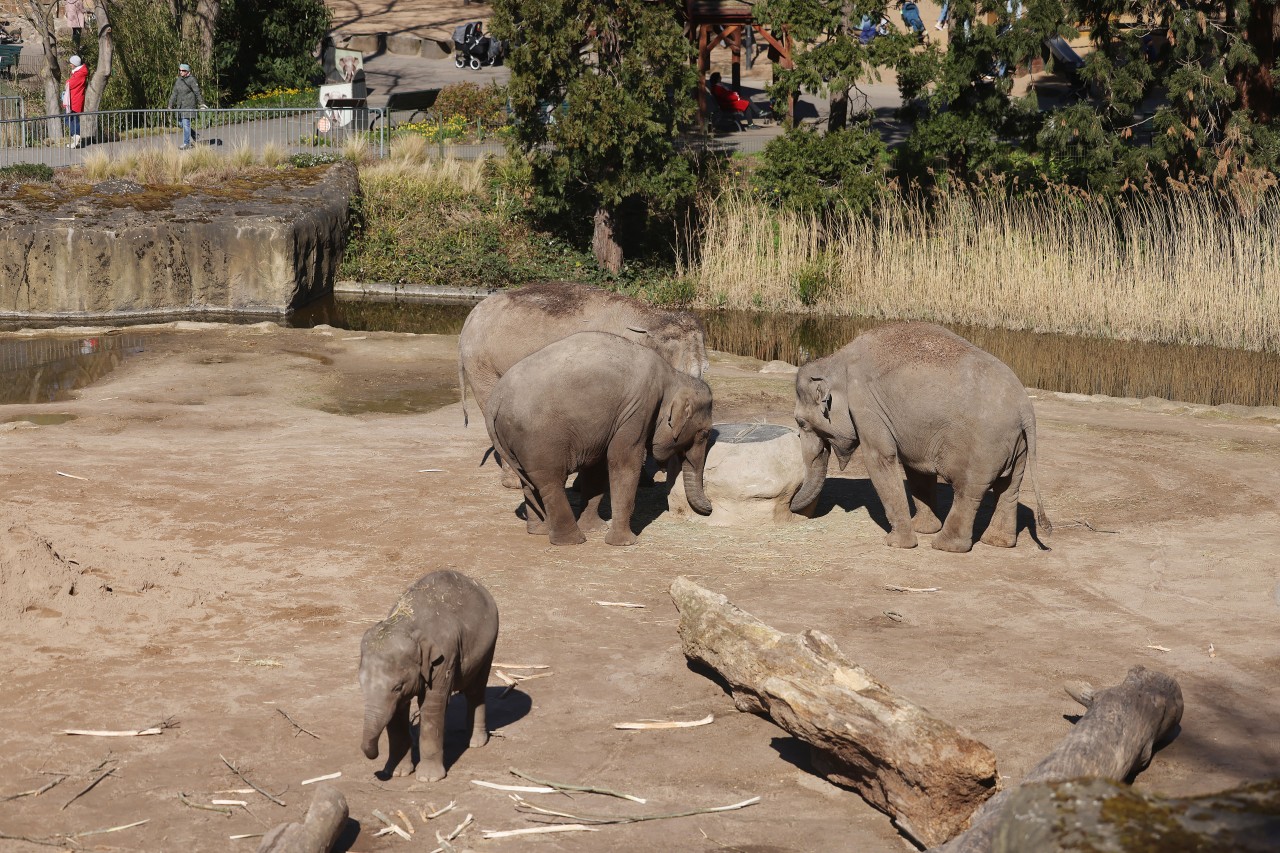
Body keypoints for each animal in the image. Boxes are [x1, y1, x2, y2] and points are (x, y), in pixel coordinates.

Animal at [363, 568, 501, 778]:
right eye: (361, 685)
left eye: (397, 687)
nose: (378, 771)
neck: (406, 622)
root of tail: (478, 584)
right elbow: (397, 713)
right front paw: (398, 773)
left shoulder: (444, 658)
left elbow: (430, 706)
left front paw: (428, 778)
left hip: (489, 645)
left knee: (476, 690)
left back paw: (475, 742)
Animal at [483, 327, 716, 540]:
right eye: (704, 434)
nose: (710, 506)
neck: (673, 376)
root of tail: (494, 401)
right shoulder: (638, 408)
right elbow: (623, 462)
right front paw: (624, 542)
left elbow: (598, 467)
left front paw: (596, 529)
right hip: (538, 440)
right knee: (550, 482)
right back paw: (572, 540)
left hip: (515, 442)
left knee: (530, 484)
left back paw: (539, 531)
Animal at [788, 320, 1049, 550]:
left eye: (801, 423)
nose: (791, 504)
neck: (836, 359)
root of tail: (1025, 408)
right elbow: (916, 468)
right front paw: (922, 529)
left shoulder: (866, 406)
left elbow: (881, 460)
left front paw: (897, 543)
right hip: (1019, 446)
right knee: (1009, 488)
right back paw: (997, 542)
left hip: (982, 448)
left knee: (968, 491)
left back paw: (946, 546)